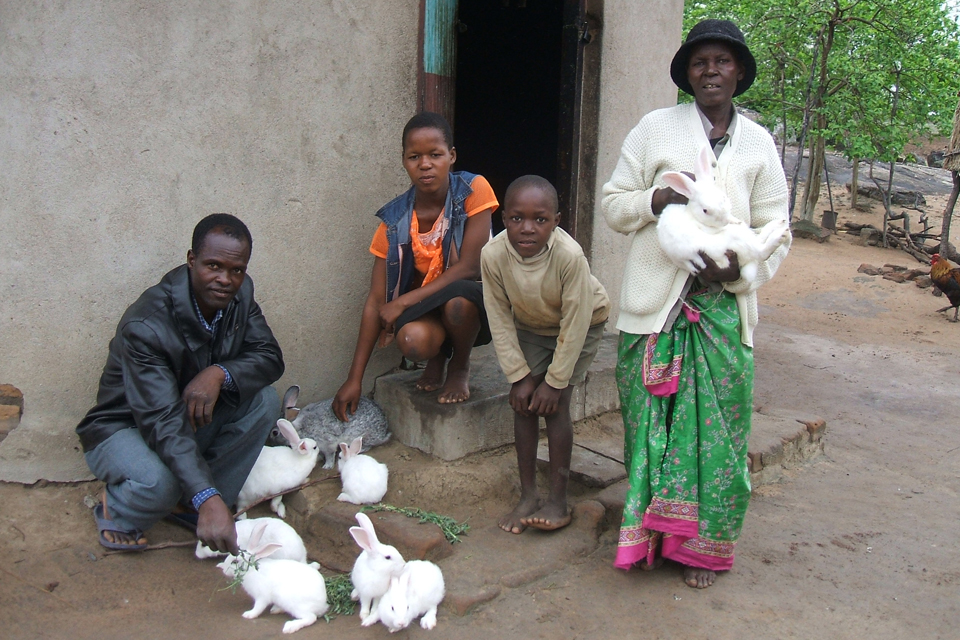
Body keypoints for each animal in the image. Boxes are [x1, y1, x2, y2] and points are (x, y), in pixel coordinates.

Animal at [656, 146, 792, 286]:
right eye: (705, 210)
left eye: (724, 198)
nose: (725, 220)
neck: (693, 215)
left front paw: (735, 220)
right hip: (737, 240)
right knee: (761, 251)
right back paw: (781, 235)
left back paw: (778, 223)